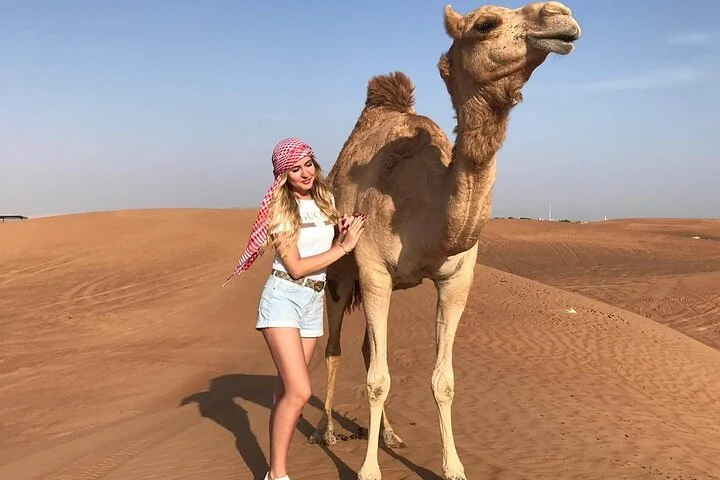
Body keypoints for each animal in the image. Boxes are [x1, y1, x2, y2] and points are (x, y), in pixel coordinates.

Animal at [310, 3, 581, 479]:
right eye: (486, 23)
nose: (562, 15)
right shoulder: (373, 270)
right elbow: (377, 380)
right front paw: (369, 470)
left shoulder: (457, 279)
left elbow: (443, 381)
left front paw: (453, 466)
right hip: (341, 271)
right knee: (335, 346)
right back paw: (326, 431)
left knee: (367, 349)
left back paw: (390, 435)